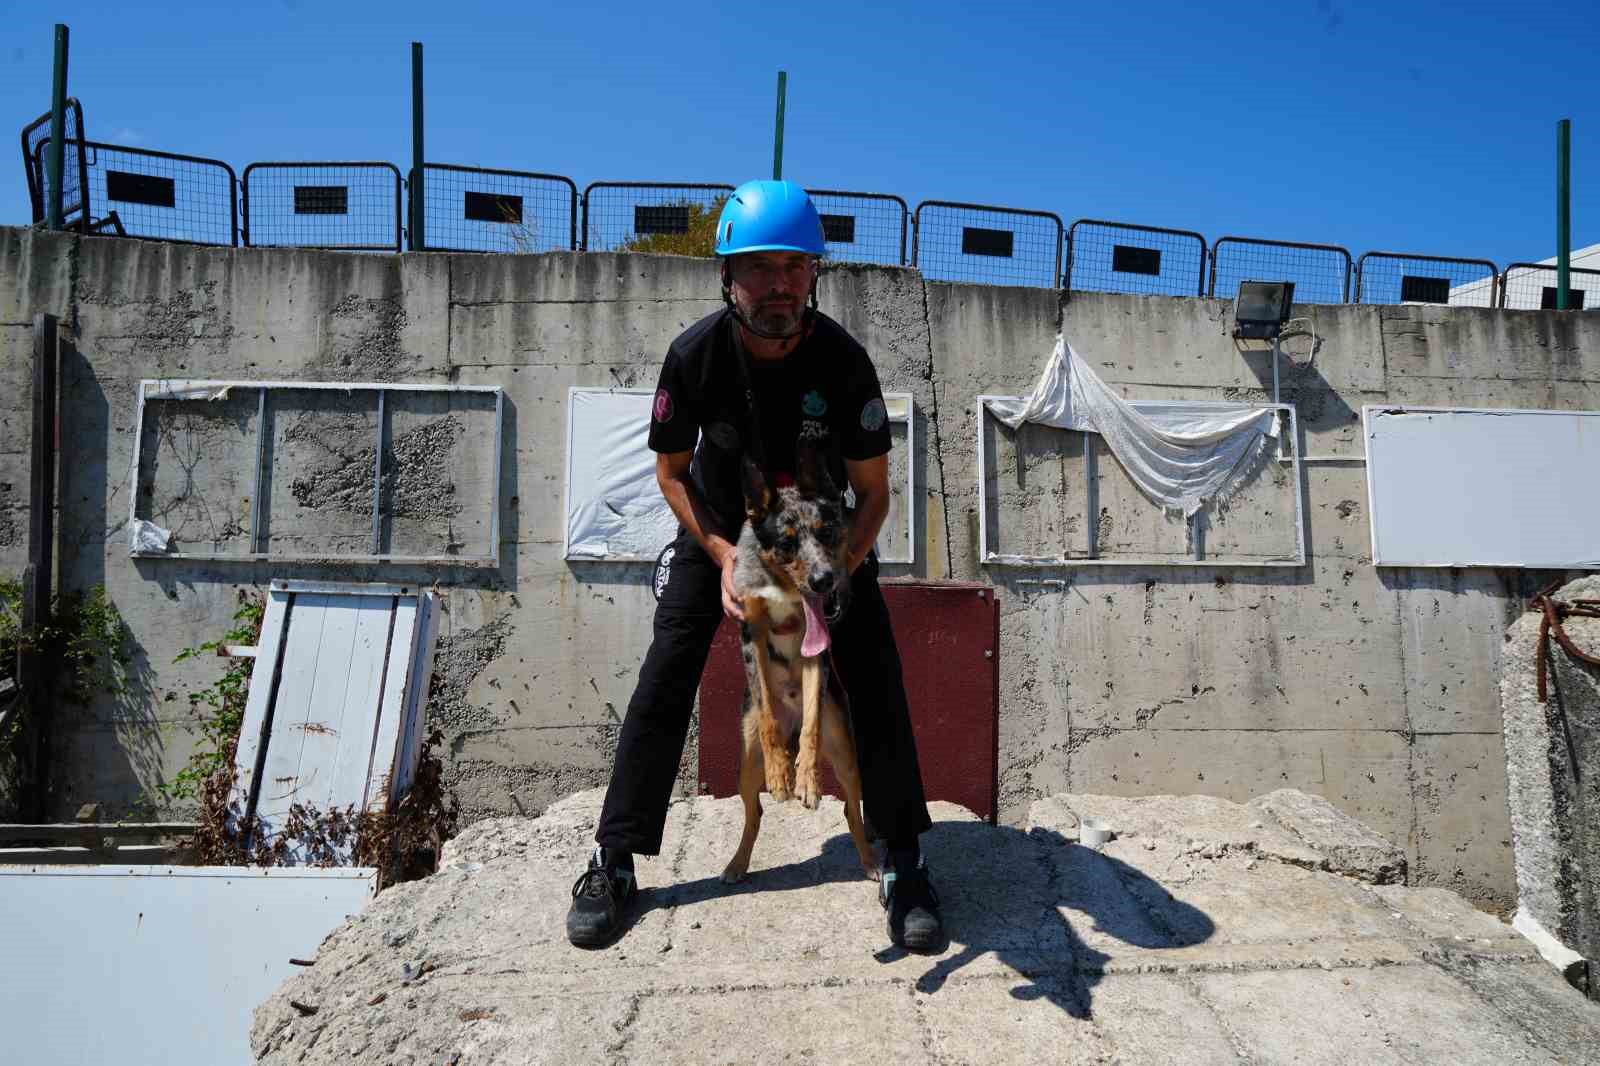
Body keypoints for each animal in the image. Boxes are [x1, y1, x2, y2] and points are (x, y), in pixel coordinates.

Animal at [723, 438, 876, 877]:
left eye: (826, 533)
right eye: (787, 542)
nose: (825, 580)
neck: (784, 589)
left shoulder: (816, 655)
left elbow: (811, 720)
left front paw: (807, 777)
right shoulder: (750, 634)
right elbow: (767, 715)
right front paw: (781, 772)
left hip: (847, 756)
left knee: (852, 811)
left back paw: (871, 862)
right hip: (746, 763)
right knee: (754, 813)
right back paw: (737, 863)